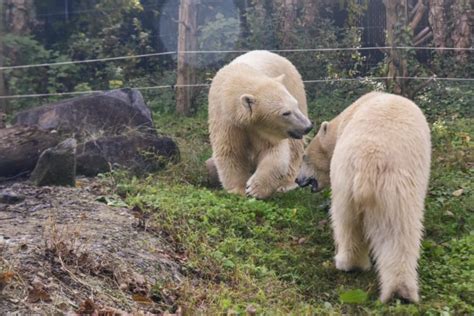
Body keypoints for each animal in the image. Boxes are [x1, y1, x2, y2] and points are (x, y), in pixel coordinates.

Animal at [208, 49, 312, 199]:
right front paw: (239, 190)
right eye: (285, 113)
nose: (308, 126)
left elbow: (272, 150)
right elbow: (231, 151)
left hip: (294, 86)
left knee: (294, 148)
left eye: (295, 105)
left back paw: (286, 184)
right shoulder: (226, 120)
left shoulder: (264, 129)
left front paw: (254, 188)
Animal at [298, 92, 432, 304]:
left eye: (304, 157)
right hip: (381, 187)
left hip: (354, 184)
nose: (298, 179)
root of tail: (368, 161)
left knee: (361, 225)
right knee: (385, 230)